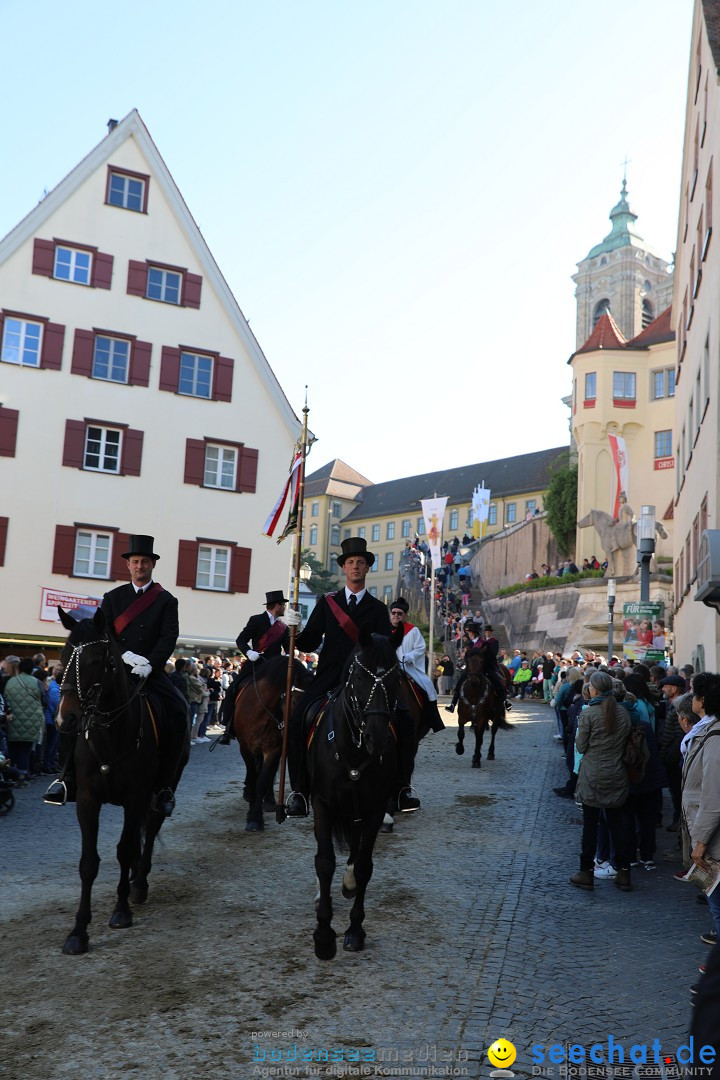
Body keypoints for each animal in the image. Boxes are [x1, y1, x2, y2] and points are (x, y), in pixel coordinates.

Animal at [56, 609, 189, 954]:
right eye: (63, 656)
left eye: (94, 661)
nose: (65, 719)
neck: (110, 735)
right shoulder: (87, 800)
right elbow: (89, 862)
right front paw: (78, 932)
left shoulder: (135, 797)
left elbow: (126, 850)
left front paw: (121, 911)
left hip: (163, 788)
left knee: (151, 828)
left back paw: (138, 884)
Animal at [234, 652, 313, 829]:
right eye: (294, 700)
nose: (296, 732)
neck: (262, 711)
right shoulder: (245, 748)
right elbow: (253, 776)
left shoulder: (273, 750)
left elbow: (262, 780)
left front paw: (255, 818)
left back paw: (269, 801)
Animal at [306, 630, 403, 959]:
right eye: (359, 677)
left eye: (396, 677)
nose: (378, 738)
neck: (353, 747)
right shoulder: (322, 804)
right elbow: (324, 862)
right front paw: (324, 936)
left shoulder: (374, 809)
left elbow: (363, 866)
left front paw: (355, 930)